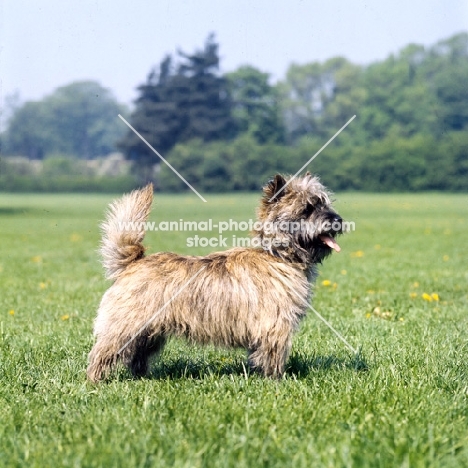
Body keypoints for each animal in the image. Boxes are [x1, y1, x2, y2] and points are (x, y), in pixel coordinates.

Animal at [88, 174, 342, 382]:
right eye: (307, 209)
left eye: (325, 203)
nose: (337, 220)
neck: (278, 255)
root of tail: (133, 263)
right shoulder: (275, 326)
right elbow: (273, 356)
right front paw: (276, 381)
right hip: (126, 326)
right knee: (102, 352)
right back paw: (95, 381)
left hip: (150, 331)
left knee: (137, 355)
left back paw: (142, 378)